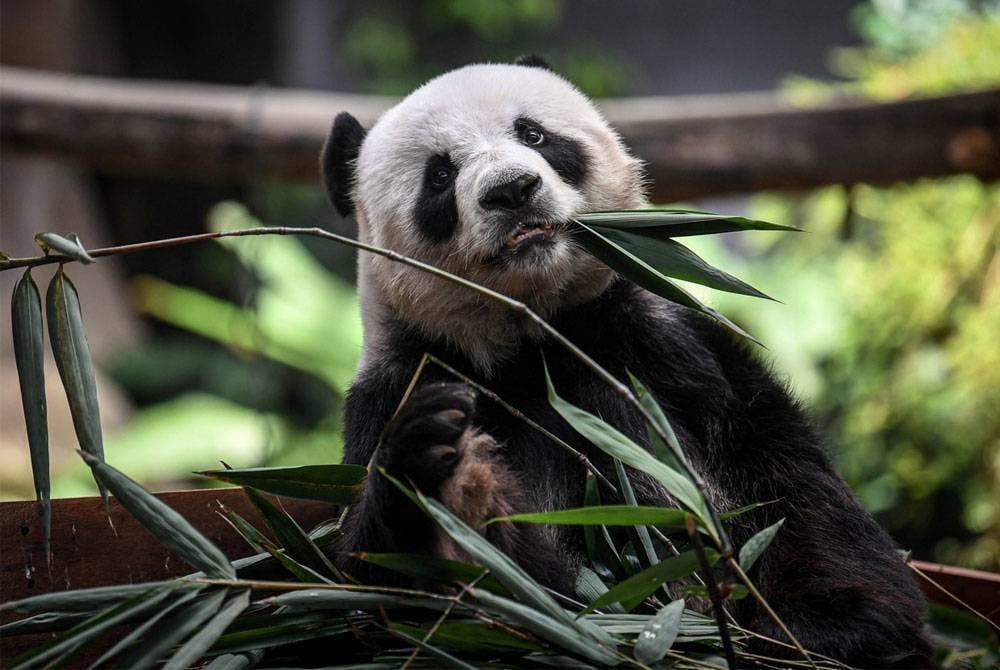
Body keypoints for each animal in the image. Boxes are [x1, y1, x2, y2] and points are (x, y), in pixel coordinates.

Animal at [321, 57, 931, 667]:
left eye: (533, 134)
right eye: (441, 175)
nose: (512, 189)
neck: (535, 338)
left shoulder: (669, 350)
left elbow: (793, 493)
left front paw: (817, 630)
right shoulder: (400, 382)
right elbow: (383, 600)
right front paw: (444, 470)